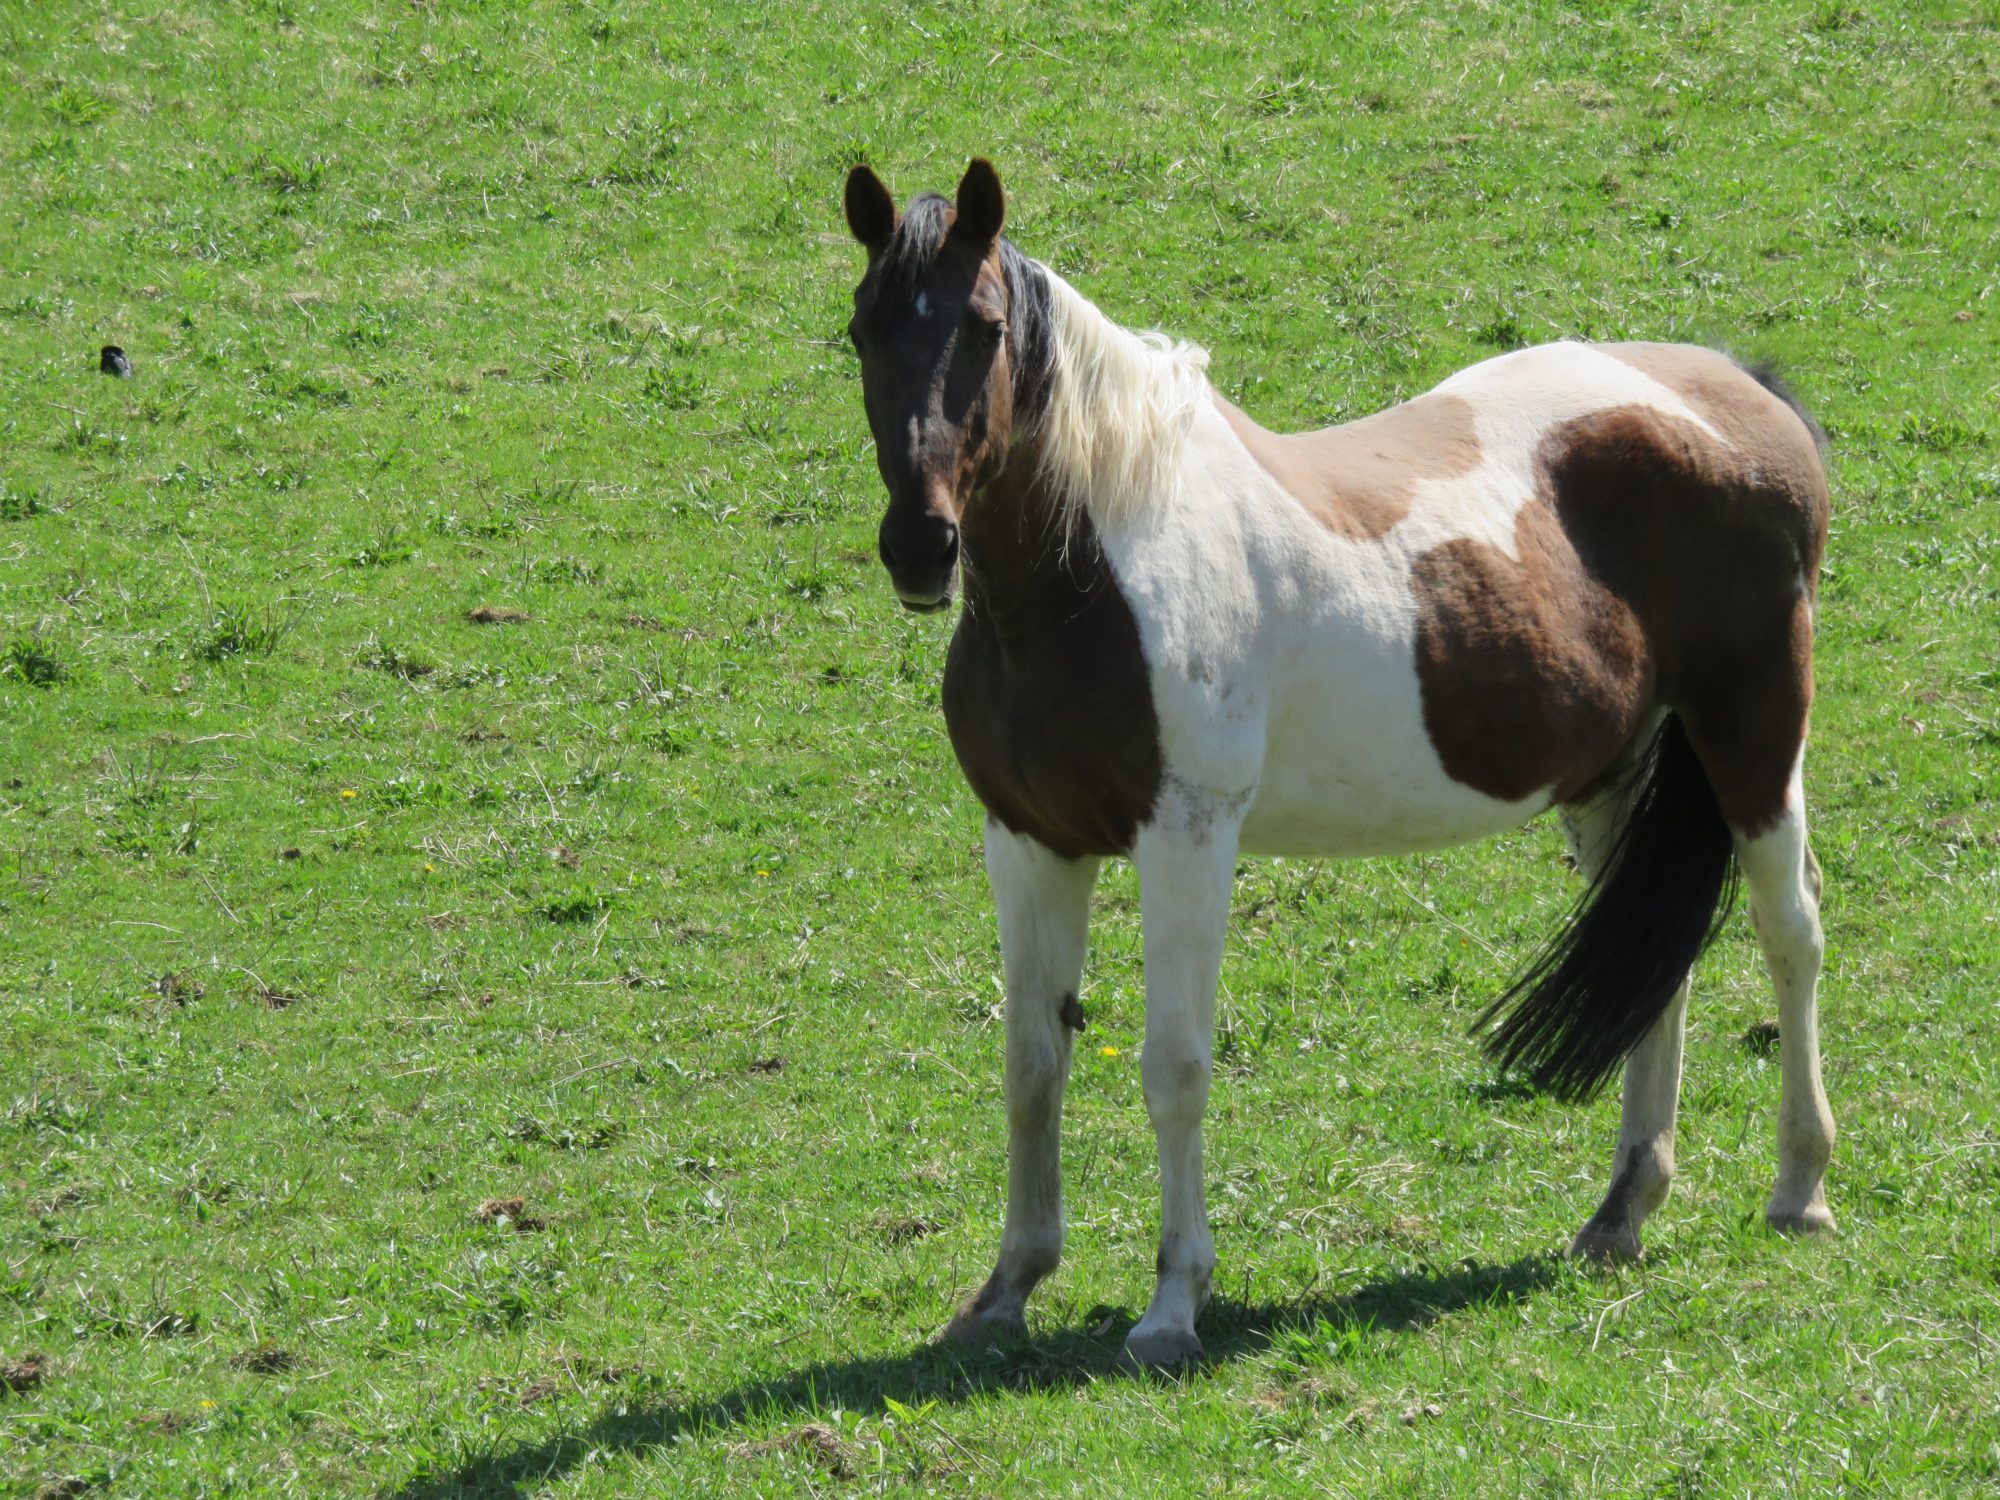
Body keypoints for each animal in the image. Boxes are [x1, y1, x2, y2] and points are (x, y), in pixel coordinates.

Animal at [840, 159, 1832, 1368]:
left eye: (983, 327)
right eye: (862, 329)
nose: (918, 548)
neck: (1097, 571)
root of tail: (1740, 391)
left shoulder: (1186, 840)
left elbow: (1174, 1066)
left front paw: (1171, 1308)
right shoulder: (1028, 842)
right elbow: (1033, 1066)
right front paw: (1004, 1292)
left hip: (1753, 732)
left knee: (1789, 933)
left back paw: (1799, 1191)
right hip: (1612, 776)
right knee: (1656, 960)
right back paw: (1620, 1213)